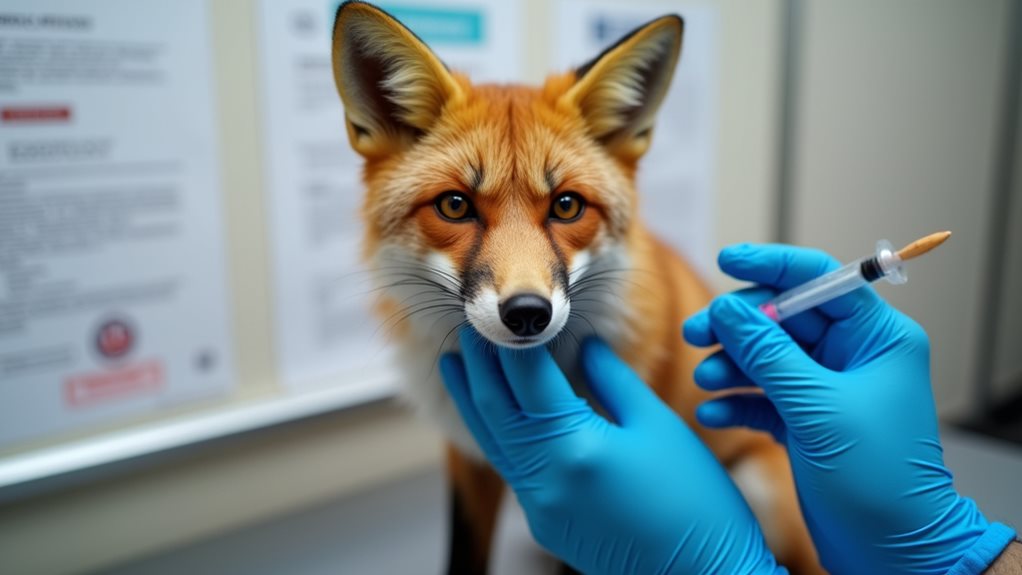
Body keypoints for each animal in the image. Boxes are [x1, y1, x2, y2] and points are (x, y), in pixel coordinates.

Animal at [330, 2, 823, 573]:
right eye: (454, 205)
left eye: (566, 206)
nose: (527, 312)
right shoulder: (466, 456)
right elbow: (463, 554)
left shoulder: (594, 511)